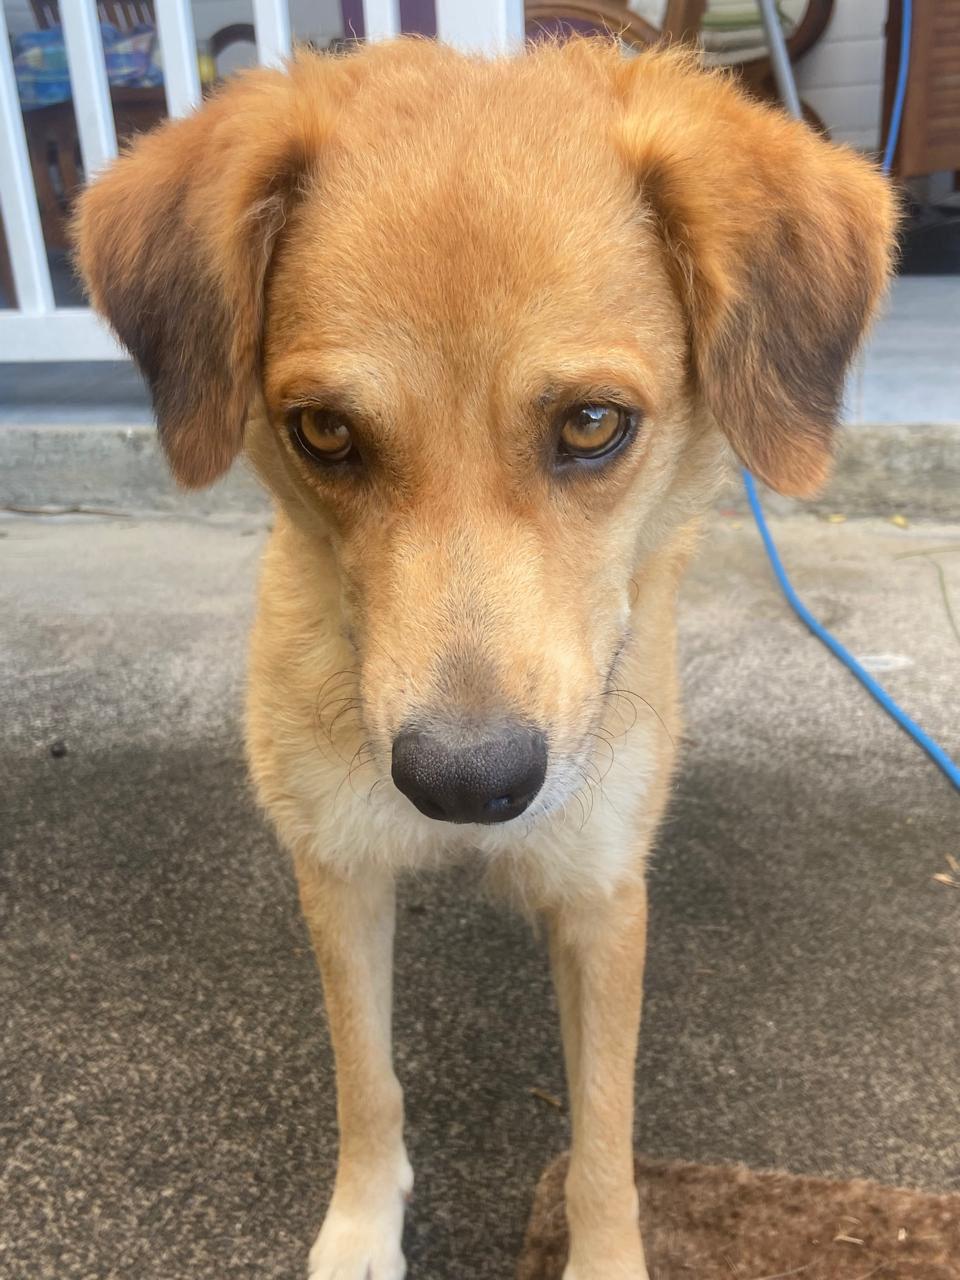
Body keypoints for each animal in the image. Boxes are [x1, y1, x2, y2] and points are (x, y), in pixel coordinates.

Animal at [75, 36, 896, 1280]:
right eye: (324, 431)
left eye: (594, 424)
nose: (467, 787)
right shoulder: (338, 871)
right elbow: (366, 1082)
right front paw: (362, 1224)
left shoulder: (603, 897)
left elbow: (603, 1137)